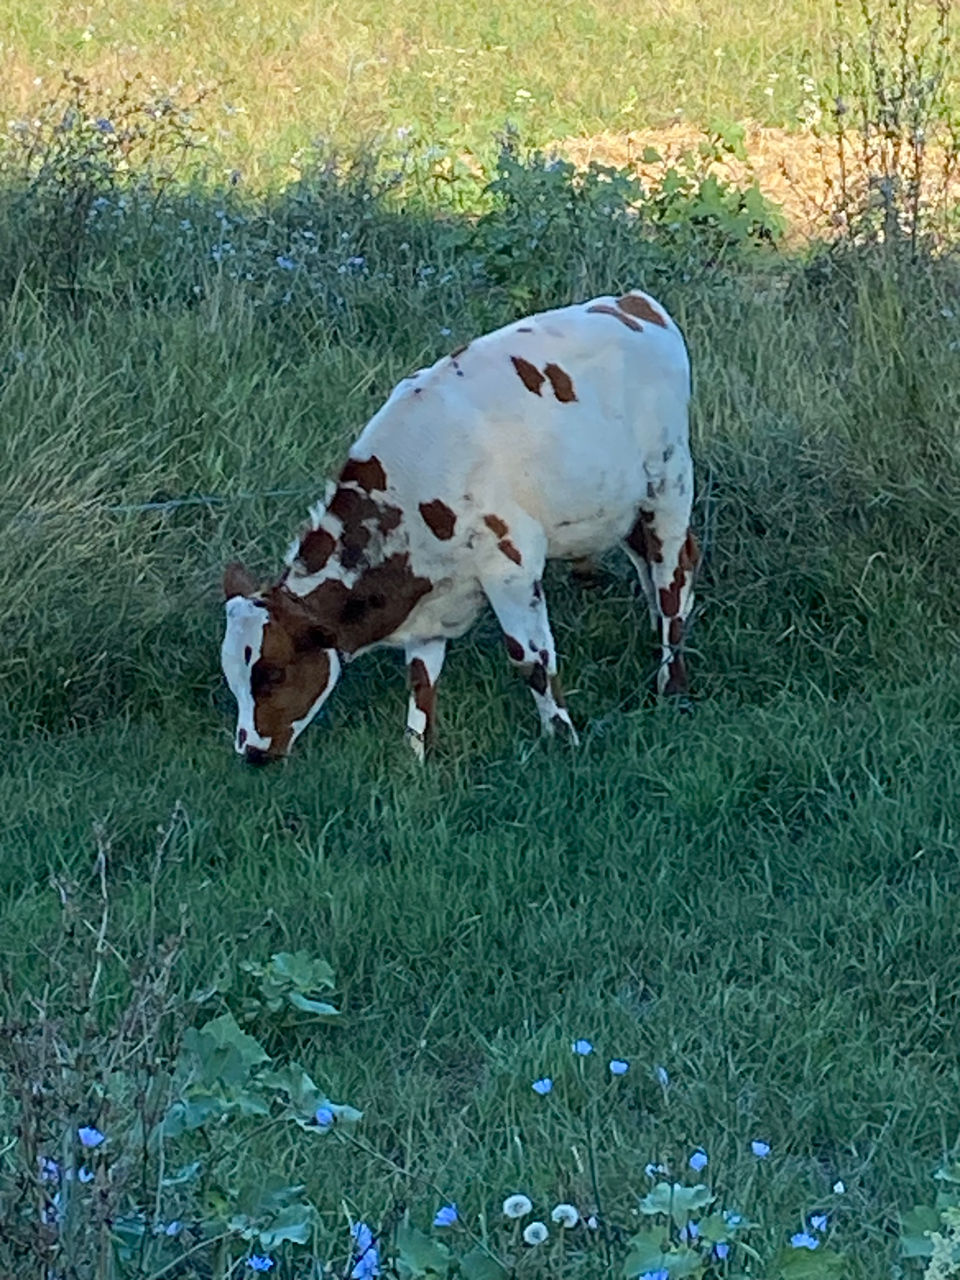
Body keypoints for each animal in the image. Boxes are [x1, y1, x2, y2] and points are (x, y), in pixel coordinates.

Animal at [220, 288, 701, 757]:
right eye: (233, 679)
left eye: (273, 674)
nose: (252, 753)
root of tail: (634, 303)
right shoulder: (428, 595)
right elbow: (420, 677)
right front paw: (415, 757)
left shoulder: (511, 564)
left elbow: (531, 660)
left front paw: (563, 740)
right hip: (621, 507)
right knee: (654, 567)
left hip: (669, 483)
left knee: (672, 577)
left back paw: (671, 683)